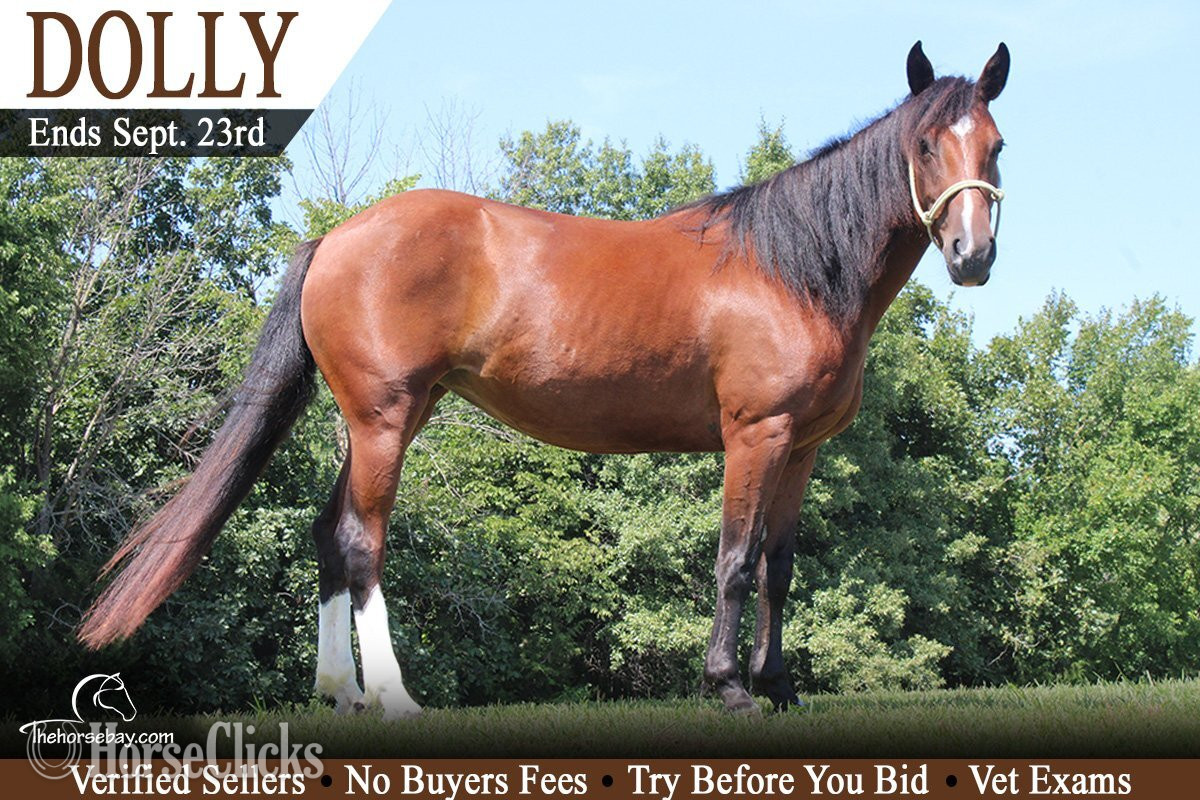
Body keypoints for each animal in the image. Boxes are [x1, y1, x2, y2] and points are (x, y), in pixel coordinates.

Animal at [78, 41, 1009, 717]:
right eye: (925, 144)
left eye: (996, 145)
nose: (973, 257)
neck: (794, 270)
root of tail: (339, 237)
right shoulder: (756, 434)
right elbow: (736, 562)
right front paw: (730, 689)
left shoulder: (805, 447)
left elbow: (779, 568)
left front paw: (780, 689)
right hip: (384, 418)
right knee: (360, 542)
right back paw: (394, 697)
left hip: (386, 418)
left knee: (326, 537)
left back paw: (338, 693)